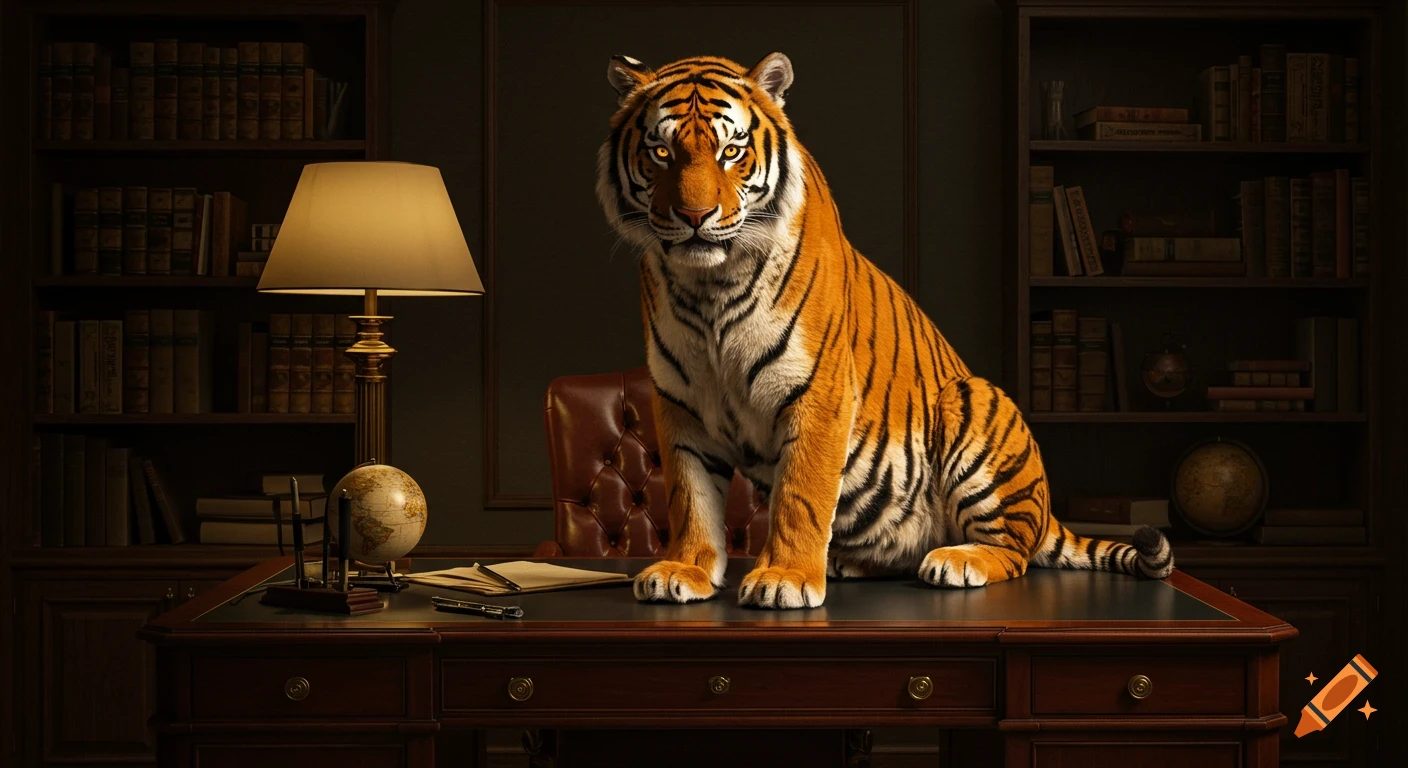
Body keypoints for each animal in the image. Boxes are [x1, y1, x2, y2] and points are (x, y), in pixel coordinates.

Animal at [597, 52, 1173, 609]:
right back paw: (848, 562)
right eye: (662, 152)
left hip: (972, 400)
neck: (708, 286)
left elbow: (800, 495)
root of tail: (1047, 508)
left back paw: (954, 561)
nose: (694, 216)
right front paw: (684, 570)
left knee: (1015, 553)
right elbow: (689, 497)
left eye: (731, 152)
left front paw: (783, 578)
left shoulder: (819, 392)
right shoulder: (681, 405)